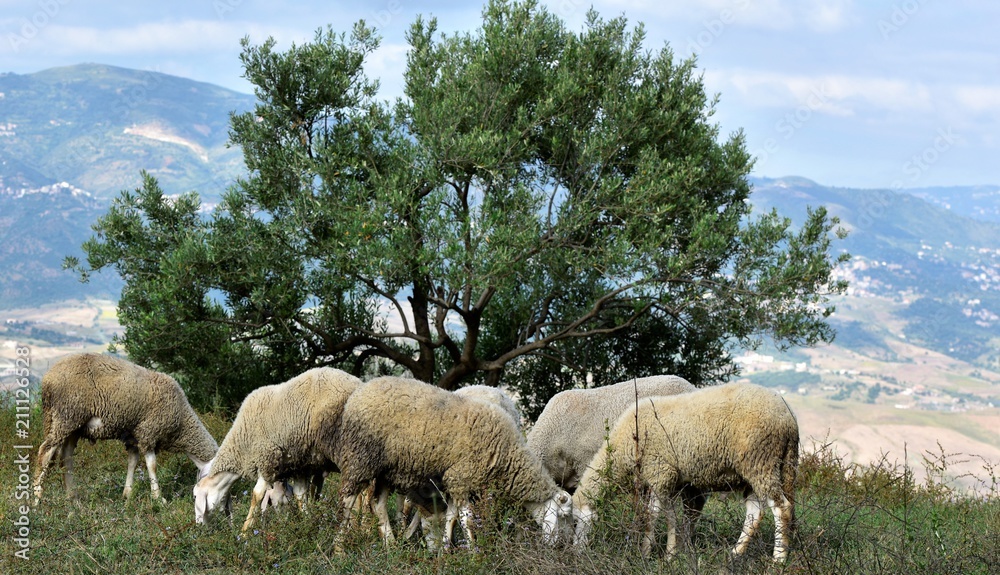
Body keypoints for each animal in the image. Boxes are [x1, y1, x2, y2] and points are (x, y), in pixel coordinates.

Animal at [32, 353, 218, 504]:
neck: (182, 420)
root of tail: (47, 380)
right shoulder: (148, 431)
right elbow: (152, 465)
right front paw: (158, 498)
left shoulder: (133, 436)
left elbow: (133, 462)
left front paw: (127, 494)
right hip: (66, 416)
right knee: (45, 452)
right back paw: (36, 499)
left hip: (72, 426)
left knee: (66, 458)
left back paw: (73, 498)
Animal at [193, 367, 362, 533]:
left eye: (195, 497)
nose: (199, 526)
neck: (241, 446)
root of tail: (358, 383)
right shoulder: (300, 465)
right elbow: (300, 496)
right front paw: (308, 524)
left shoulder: (267, 458)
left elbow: (257, 495)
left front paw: (244, 532)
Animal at [334, 376, 572, 550]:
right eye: (563, 517)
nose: (560, 547)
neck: (507, 456)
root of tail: (360, 391)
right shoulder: (462, 477)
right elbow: (466, 519)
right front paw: (474, 552)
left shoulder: (456, 481)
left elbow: (451, 517)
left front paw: (447, 549)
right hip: (361, 458)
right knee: (347, 501)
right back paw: (339, 547)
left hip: (386, 470)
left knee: (378, 504)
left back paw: (390, 546)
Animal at [572, 382, 799, 562]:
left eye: (573, 521)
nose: (573, 552)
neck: (624, 444)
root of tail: (788, 416)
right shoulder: (672, 479)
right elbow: (671, 516)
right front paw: (670, 554)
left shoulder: (659, 471)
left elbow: (651, 516)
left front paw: (645, 553)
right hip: (767, 468)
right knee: (755, 512)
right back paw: (735, 553)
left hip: (761, 460)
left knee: (781, 508)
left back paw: (779, 558)